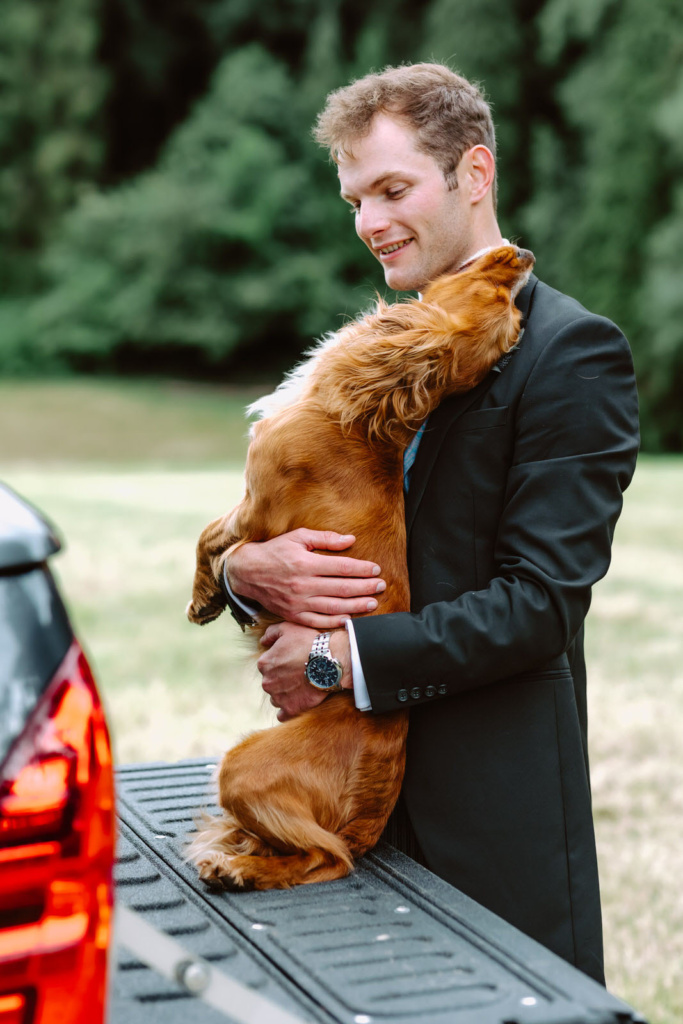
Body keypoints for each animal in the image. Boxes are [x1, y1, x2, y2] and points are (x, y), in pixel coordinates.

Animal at [185, 245, 532, 888]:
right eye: (506, 310)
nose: (522, 255)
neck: (361, 410)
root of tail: (367, 823)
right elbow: (217, 541)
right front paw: (212, 597)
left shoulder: (256, 507)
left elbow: (214, 536)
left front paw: (202, 599)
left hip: (241, 766)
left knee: (325, 857)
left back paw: (238, 870)